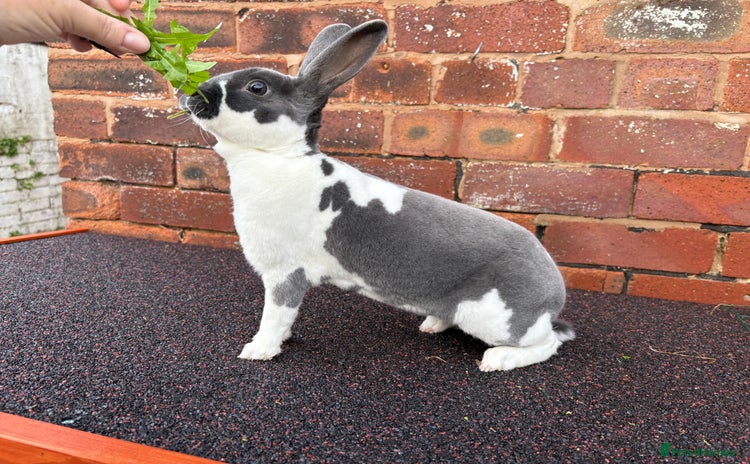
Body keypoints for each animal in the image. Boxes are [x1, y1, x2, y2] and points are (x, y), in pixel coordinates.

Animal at [180, 19, 574, 371]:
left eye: (257, 87)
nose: (192, 95)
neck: (277, 157)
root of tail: (553, 292)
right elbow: (284, 318)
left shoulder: (285, 273)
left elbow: (274, 315)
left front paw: (259, 350)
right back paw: (433, 323)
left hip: (495, 317)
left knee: (548, 343)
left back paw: (498, 360)